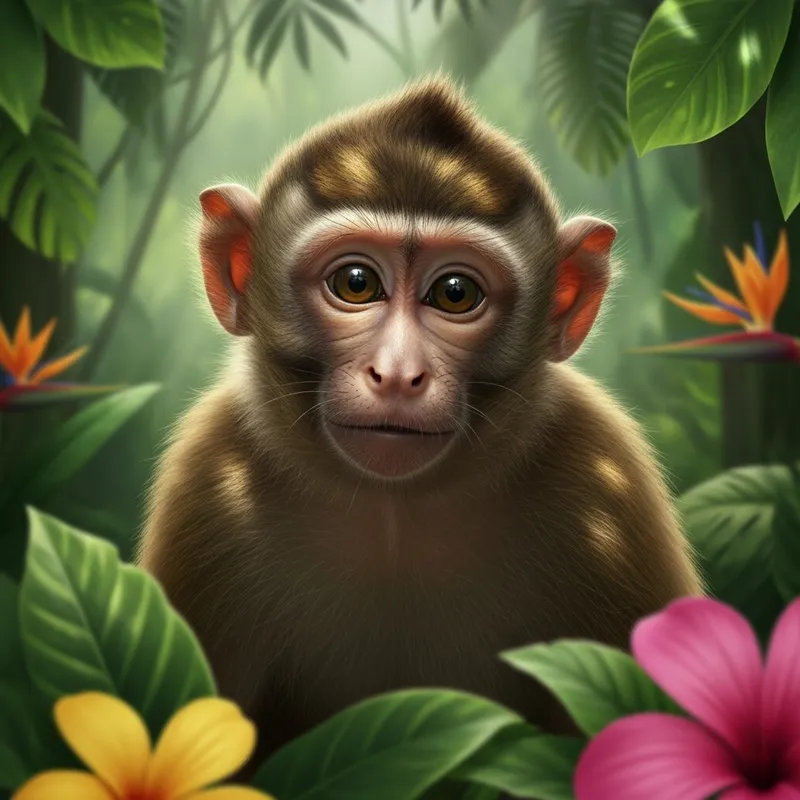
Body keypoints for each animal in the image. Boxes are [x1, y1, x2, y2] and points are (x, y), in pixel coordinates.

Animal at [136, 76, 702, 771]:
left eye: (455, 293)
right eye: (356, 282)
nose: (399, 373)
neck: (395, 510)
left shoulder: (606, 477)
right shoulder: (210, 482)